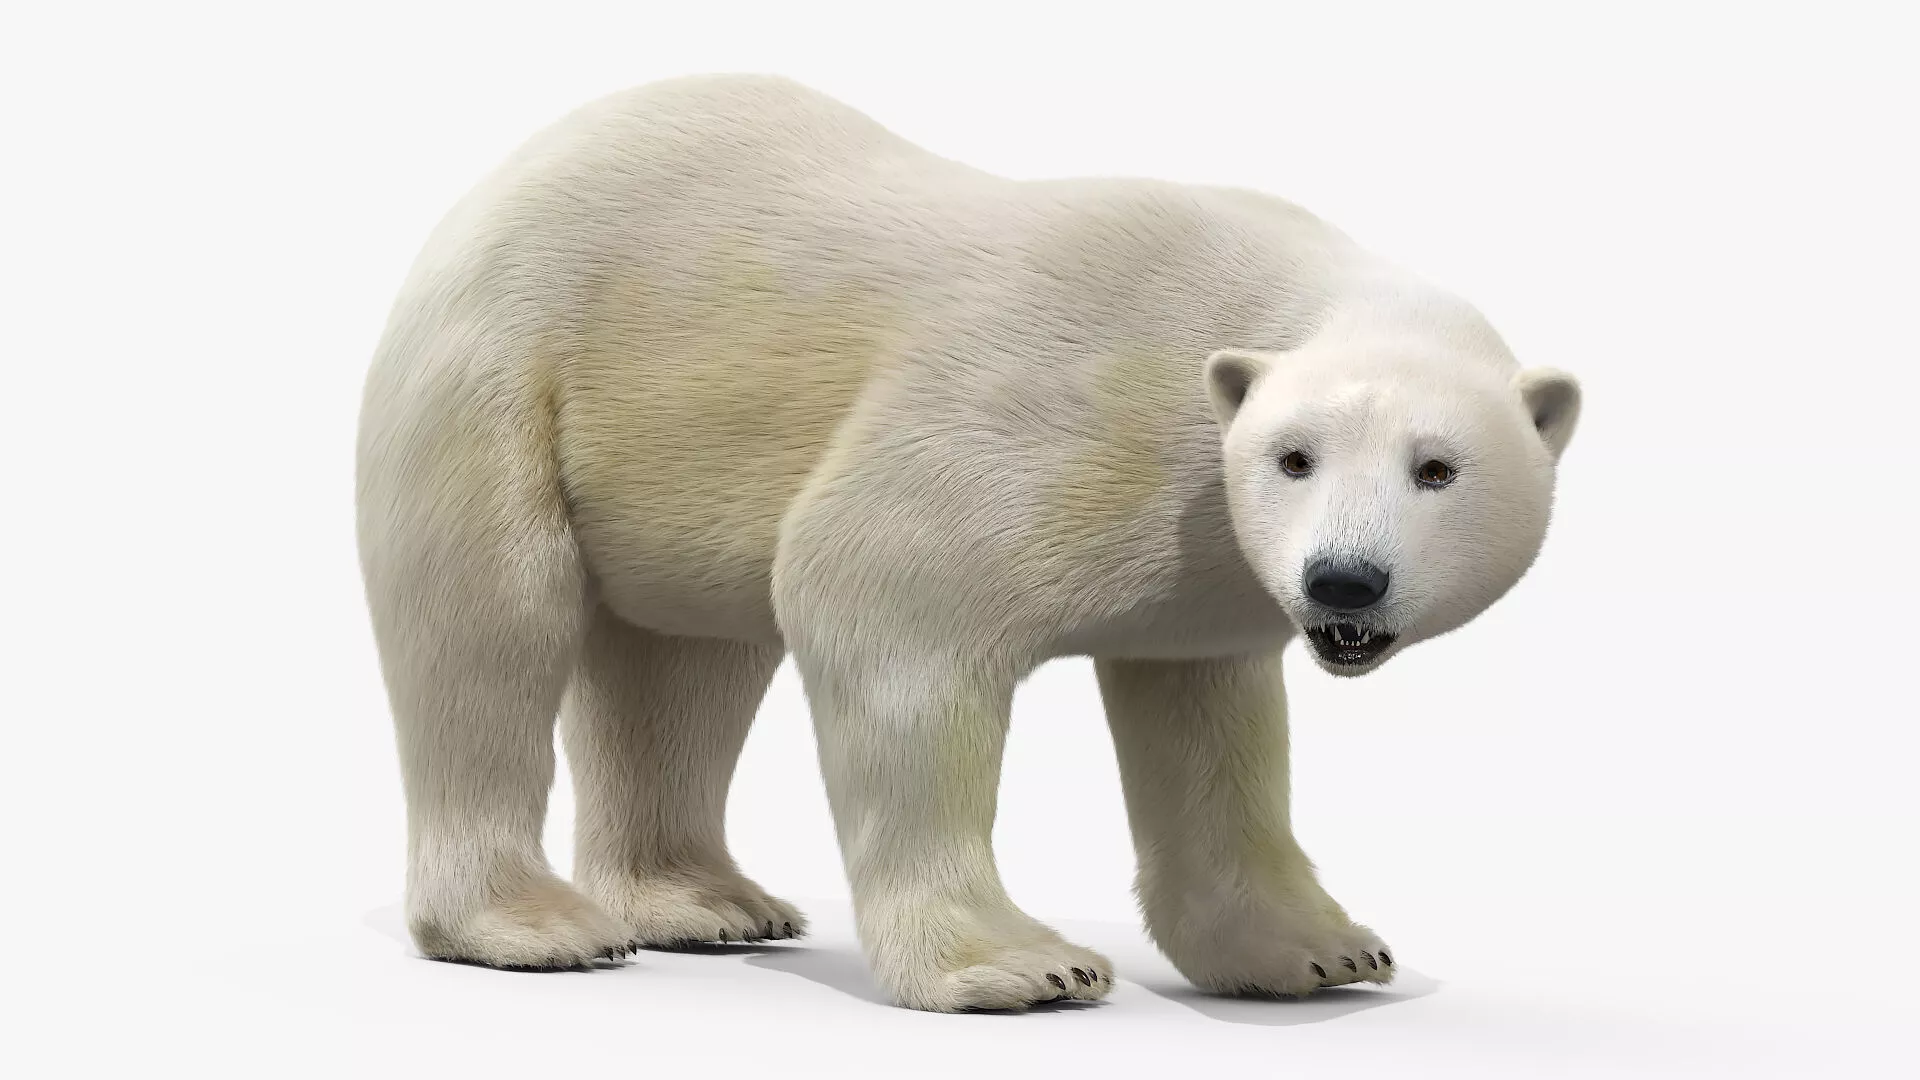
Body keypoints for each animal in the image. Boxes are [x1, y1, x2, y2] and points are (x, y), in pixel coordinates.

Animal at [356, 74, 1580, 1012]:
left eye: (1437, 466)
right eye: (1295, 456)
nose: (1344, 581)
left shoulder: (1203, 574)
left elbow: (1210, 733)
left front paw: (1321, 949)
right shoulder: (1058, 407)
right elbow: (879, 600)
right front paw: (1026, 967)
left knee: (684, 660)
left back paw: (707, 903)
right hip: (502, 371)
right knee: (491, 631)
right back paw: (533, 924)